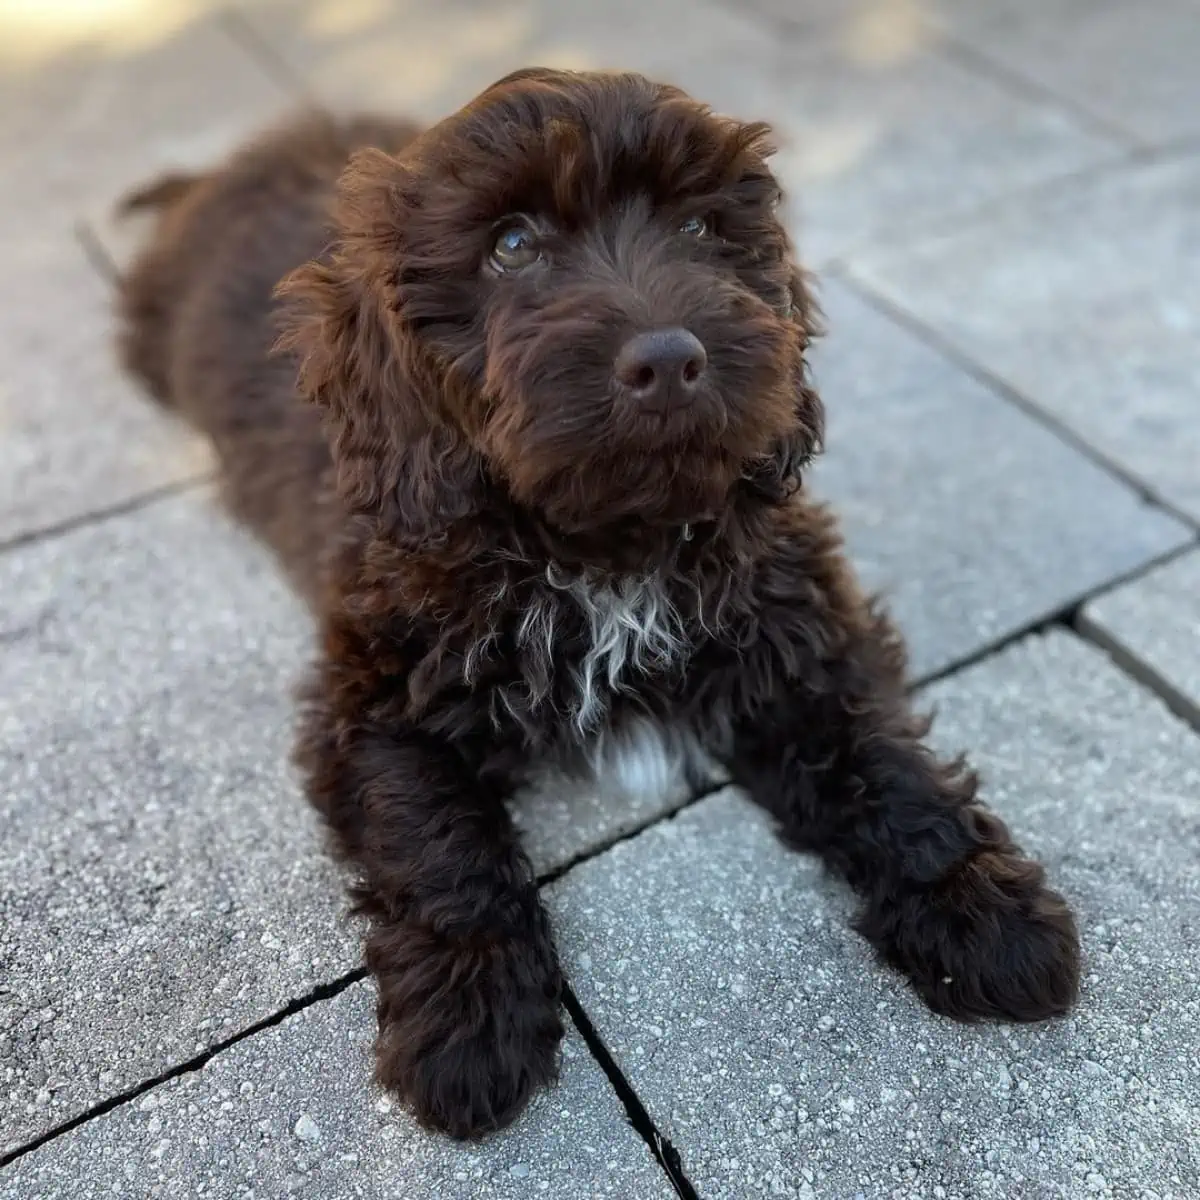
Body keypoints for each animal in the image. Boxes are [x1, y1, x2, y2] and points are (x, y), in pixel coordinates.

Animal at [119, 68, 1080, 1142]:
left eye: (700, 227)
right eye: (511, 245)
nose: (669, 359)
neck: (606, 551)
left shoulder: (798, 617)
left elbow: (877, 751)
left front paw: (979, 910)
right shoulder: (373, 688)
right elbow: (434, 836)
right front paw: (470, 1020)